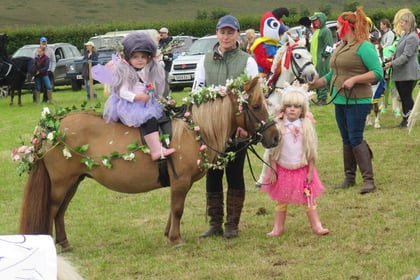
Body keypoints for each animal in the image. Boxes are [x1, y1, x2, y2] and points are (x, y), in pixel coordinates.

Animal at [19, 75, 280, 248]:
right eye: (257, 105)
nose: (275, 136)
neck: (193, 129)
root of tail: (52, 127)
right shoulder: (180, 182)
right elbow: (177, 209)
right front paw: (175, 239)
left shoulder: (178, 184)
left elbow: (173, 210)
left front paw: (168, 233)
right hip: (61, 183)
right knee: (52, 209)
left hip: (74, 181)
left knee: (60, 211)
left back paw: (64, 242)